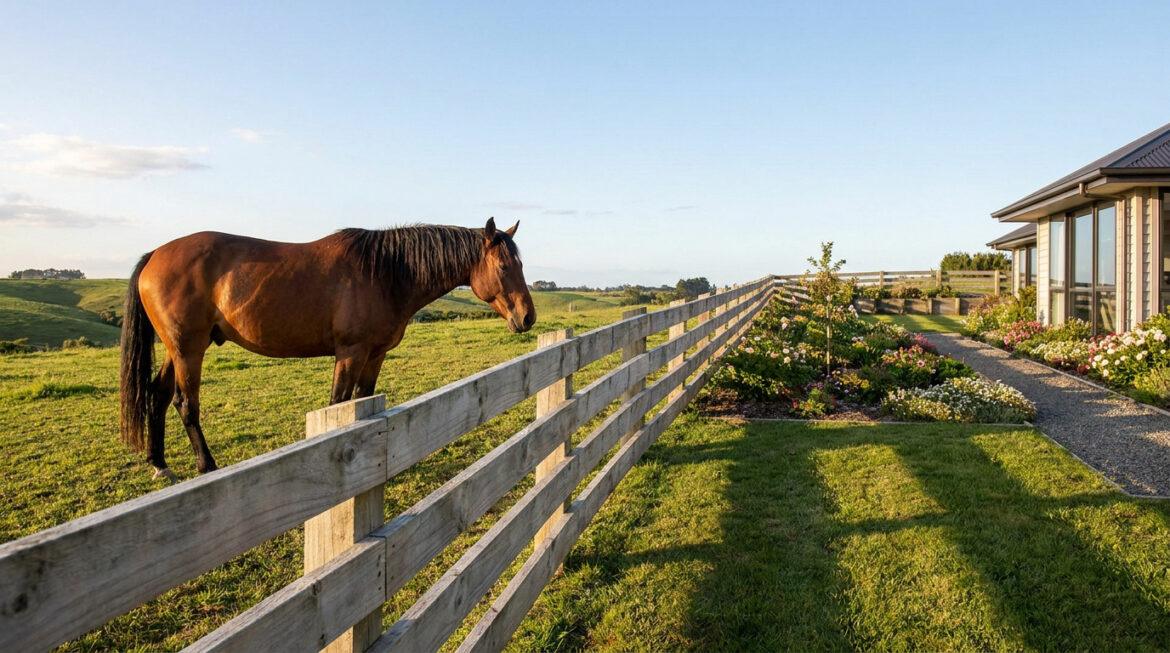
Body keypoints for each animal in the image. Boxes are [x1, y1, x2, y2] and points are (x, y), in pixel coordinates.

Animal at [119, 218, 535, 479]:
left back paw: (159, 463)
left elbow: (362, 400)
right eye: (503, 266)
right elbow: (338, 404)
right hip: (188, 349)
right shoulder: (350, 353)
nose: (527, 317)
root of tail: (155, 255)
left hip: (180, 348)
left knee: (157, 395)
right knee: (185, 404)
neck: (386, 273)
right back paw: (207, 467)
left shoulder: (374, 355)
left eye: (521, 264)